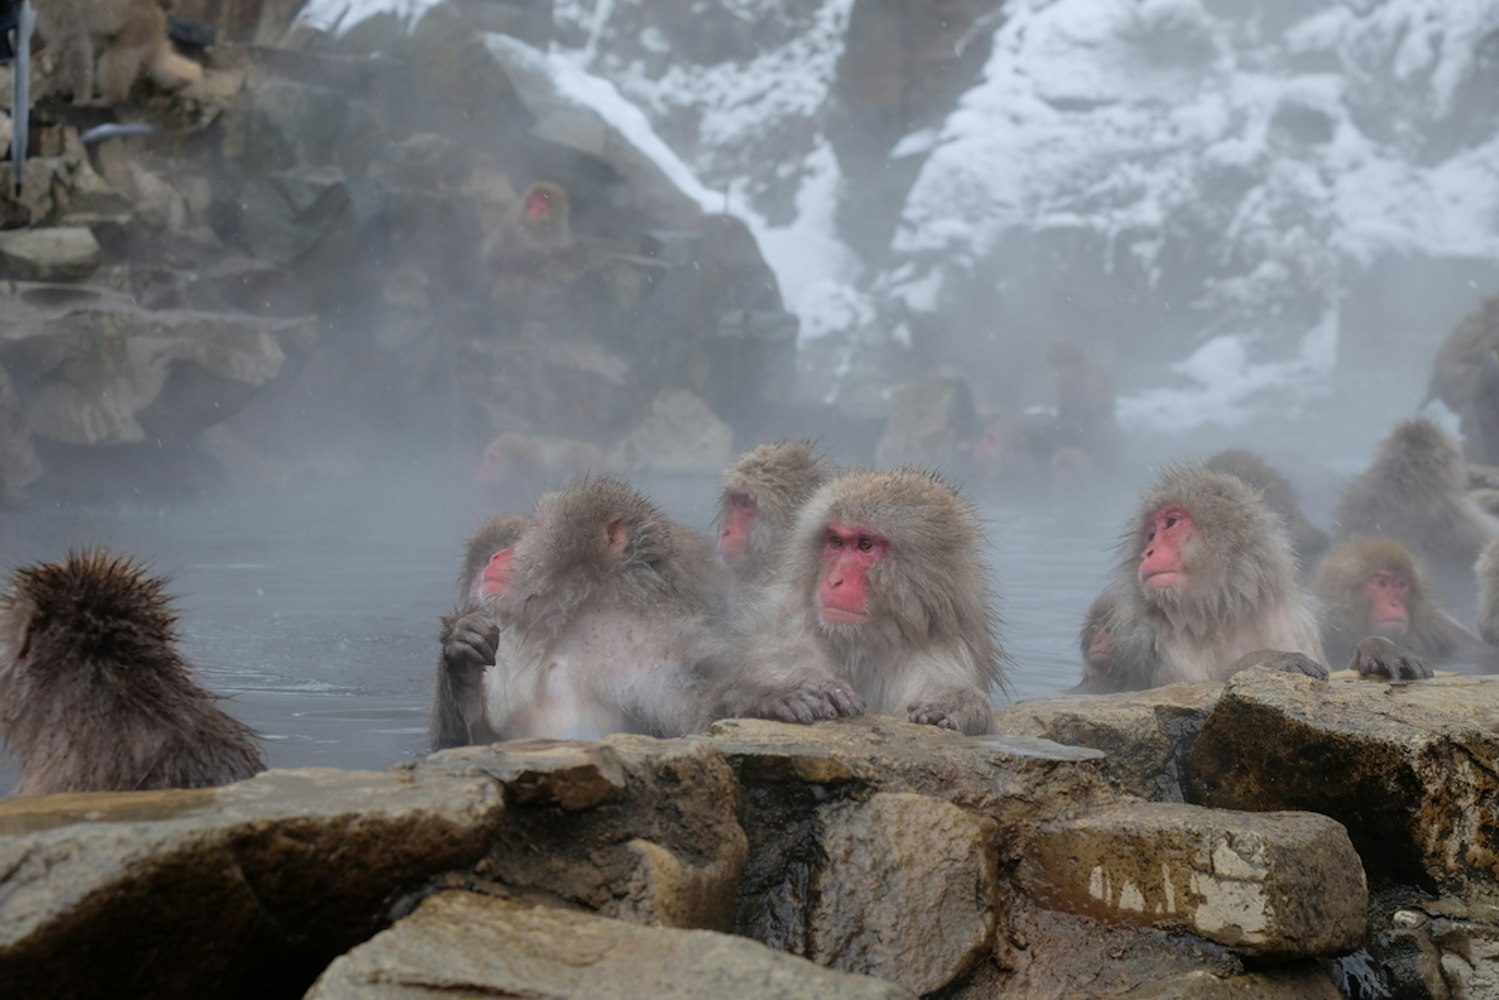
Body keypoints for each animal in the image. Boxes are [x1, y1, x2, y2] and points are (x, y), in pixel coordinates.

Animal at [33, 0, 201, 107]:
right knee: (157, 63)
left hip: (139, 27)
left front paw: (80, 99)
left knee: (119, 55)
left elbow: (77, 51)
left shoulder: (64, 11)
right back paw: (193, 76)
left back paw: (110, 98)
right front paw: (49, 53)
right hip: (149, 34)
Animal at [718, 469, 1002, 735]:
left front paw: (959, 705)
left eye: (865, 544)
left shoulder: (941, 657)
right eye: (835, 541)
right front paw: (778, 695)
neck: (863, 642)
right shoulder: (785, 624)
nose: (835, 580)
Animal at [1092, 465, 1328, 692]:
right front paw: (1272, 658)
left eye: (1171, 522)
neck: (1221, 613)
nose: (1147, 552)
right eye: (1150, 535)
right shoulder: (1159, 644)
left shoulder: (1295, 625)